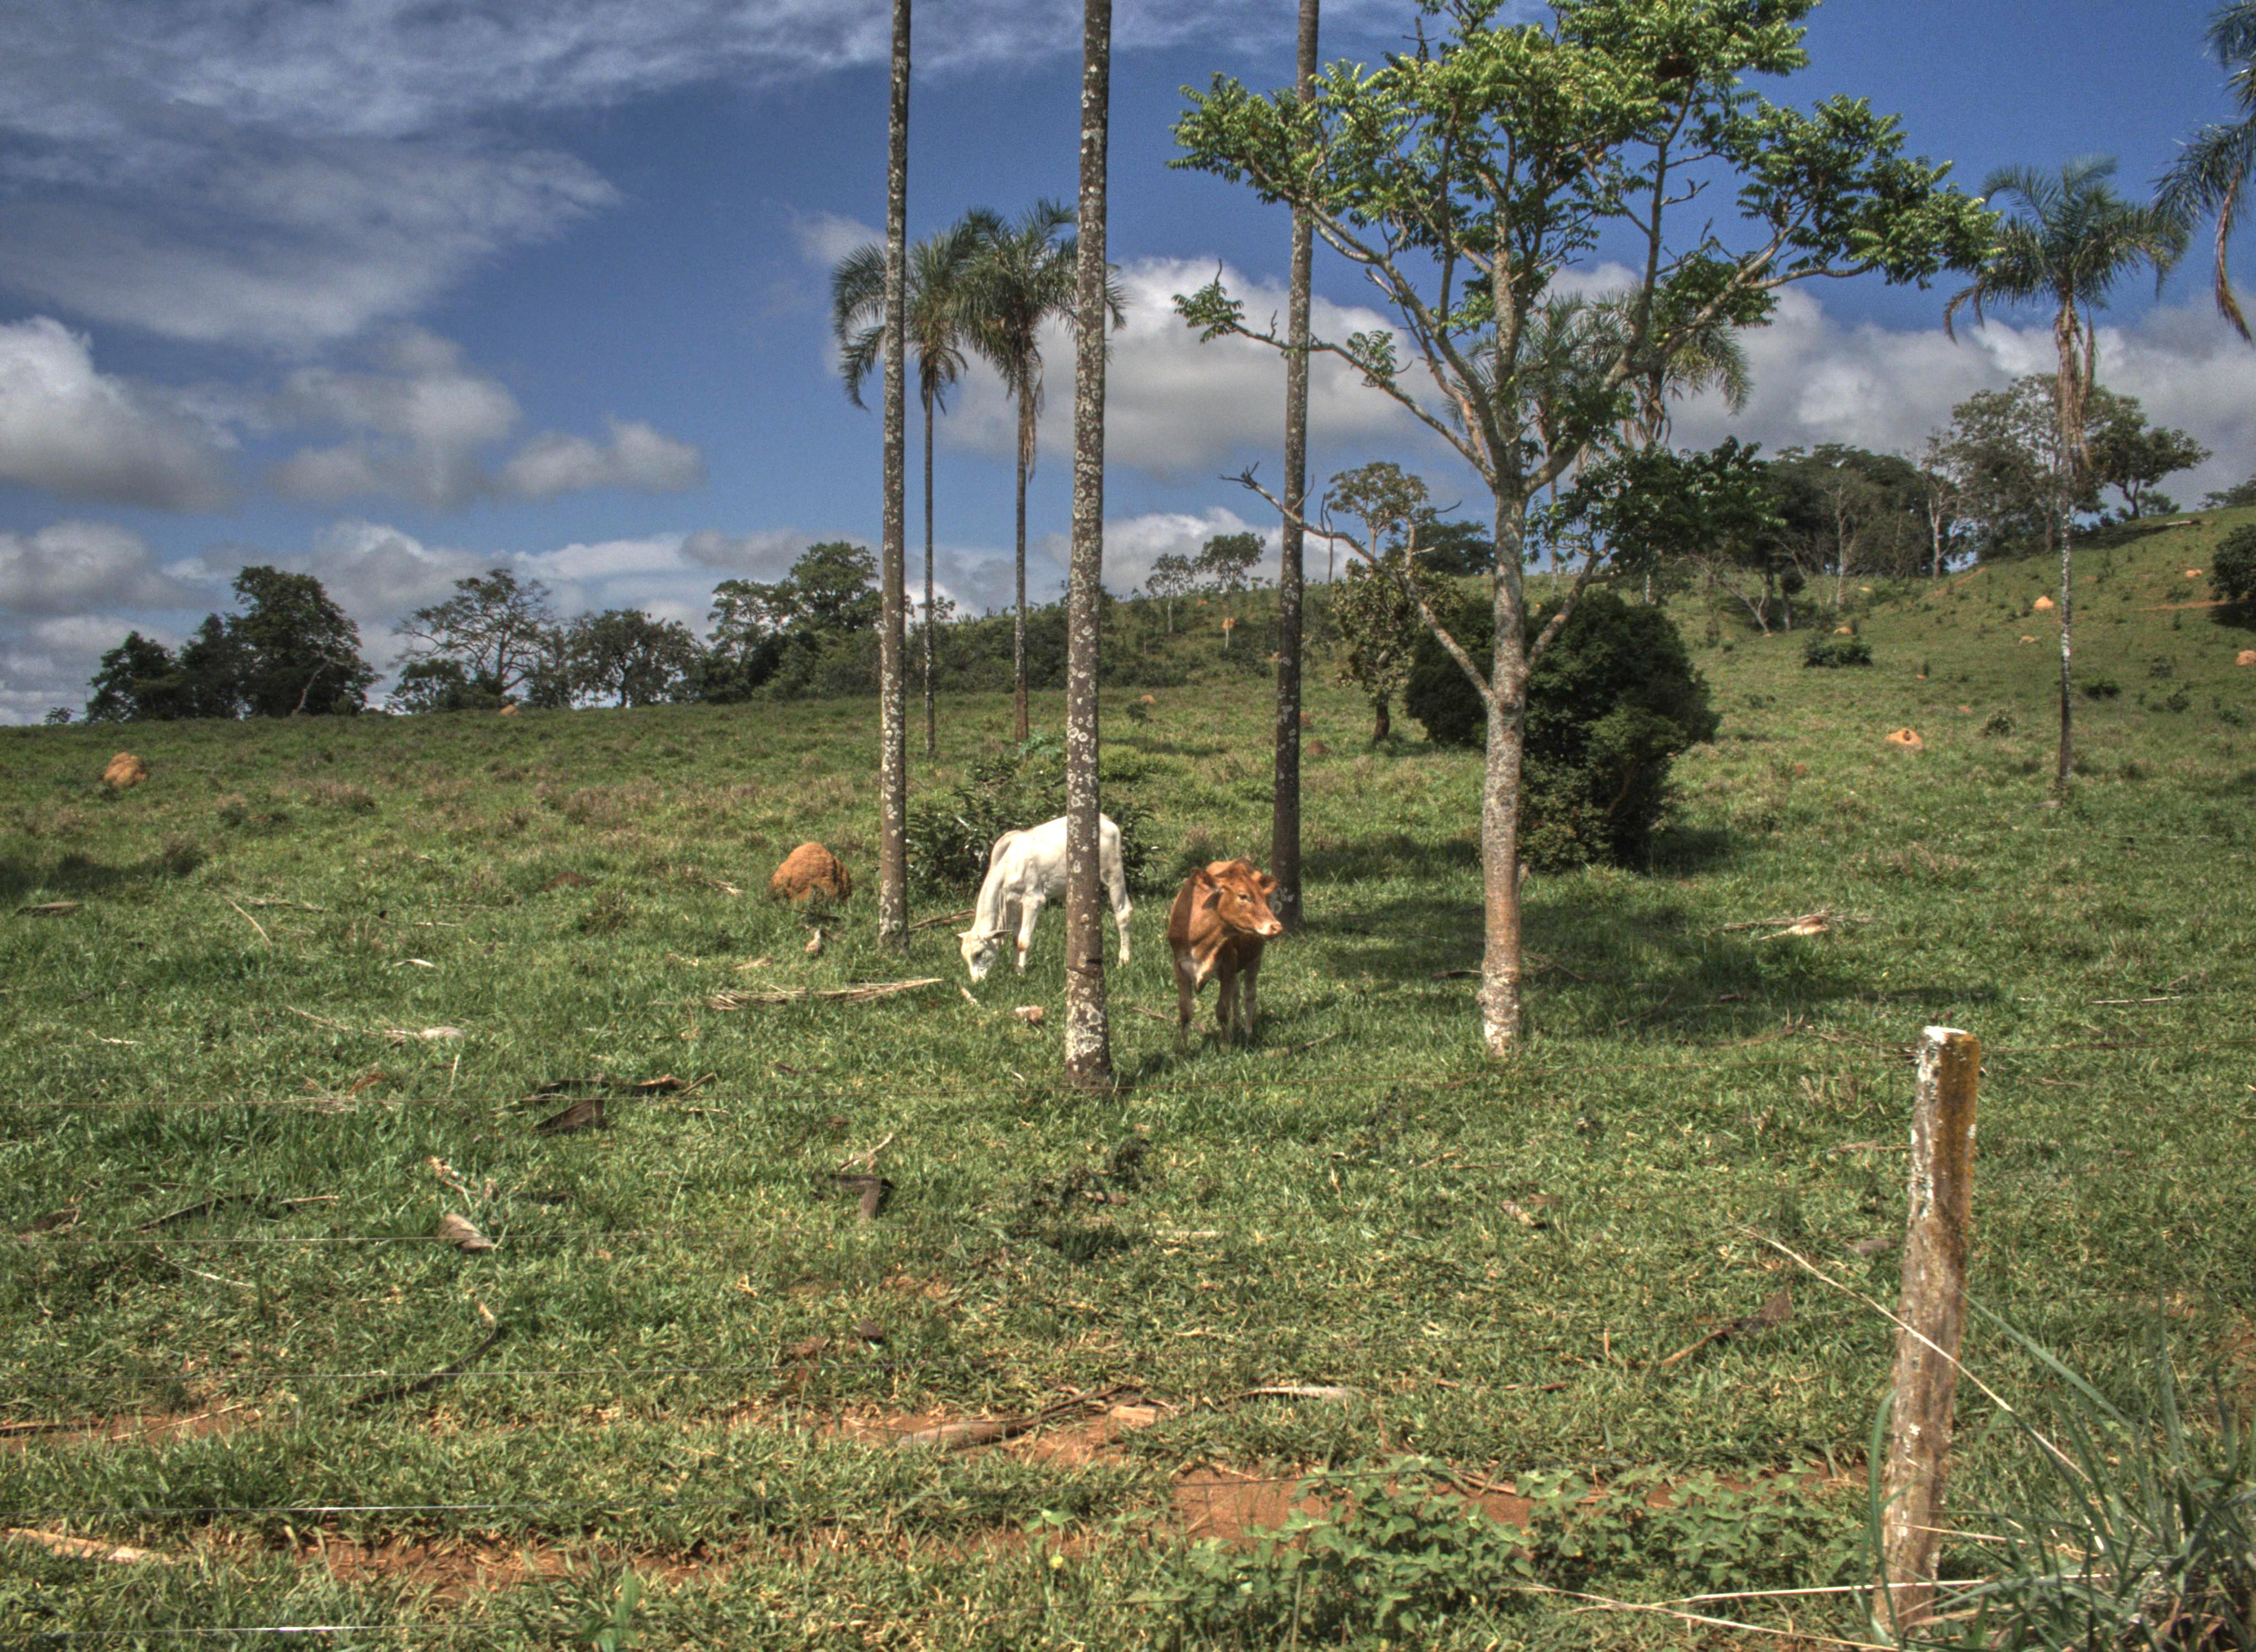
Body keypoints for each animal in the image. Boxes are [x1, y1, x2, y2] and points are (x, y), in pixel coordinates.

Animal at [957, 814, 1132, 983]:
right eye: (965, 958)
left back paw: (1123, 961)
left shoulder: (1033, 900)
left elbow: (1023, 941)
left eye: (979, 953)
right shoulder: (1015, 905)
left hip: (1113, 874)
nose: (977, 982)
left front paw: (1021, 974)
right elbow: (1015, 939)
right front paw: (1016, 970)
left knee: (1124, 913)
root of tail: (1105, 819)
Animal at [1166, 858, 1284, 1051]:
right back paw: (1236, 1026)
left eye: (1264, 897)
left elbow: (1222, 1010)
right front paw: (1183, 1050)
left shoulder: (1229, 963)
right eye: (1243, 896)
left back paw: (1248, 1033)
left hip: (1255, 957)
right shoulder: (1179, 965)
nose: (1276, 927)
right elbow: (1185, 1011)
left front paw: (1225, 1047)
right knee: (1235, 994)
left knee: (1249, 995)